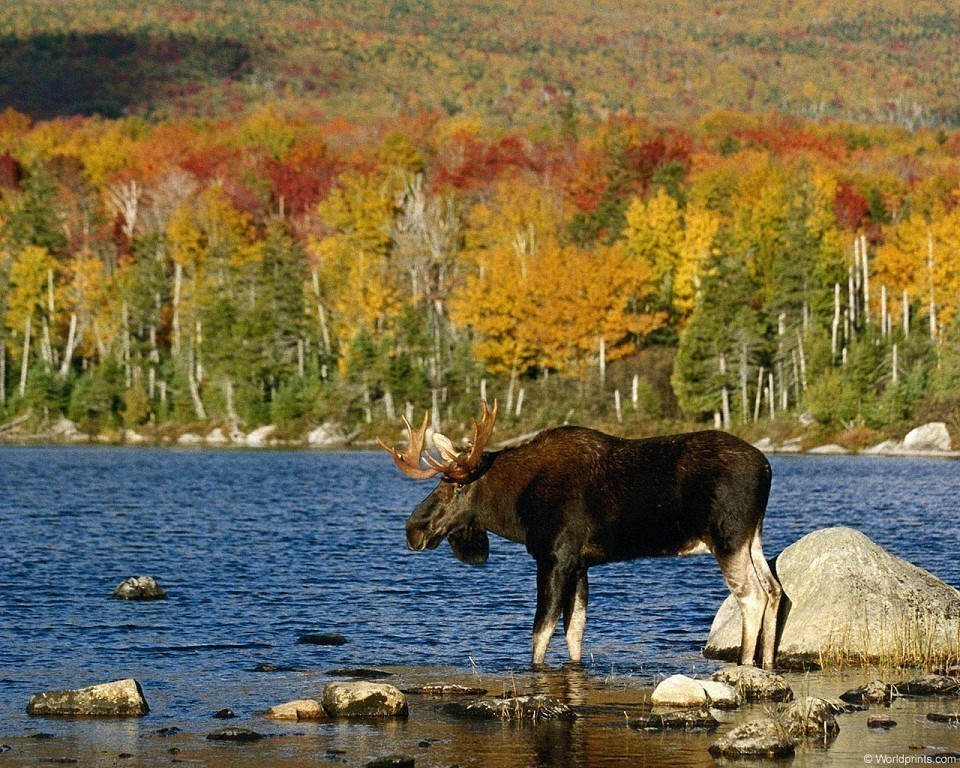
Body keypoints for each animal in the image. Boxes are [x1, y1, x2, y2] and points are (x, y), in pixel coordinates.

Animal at [378, 400, 784, 668]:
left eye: (456, 485)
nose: (413, 529)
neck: (515, 508)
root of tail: (767, 468)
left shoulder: (555, 555)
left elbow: (540, 632)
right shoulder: (580, 563)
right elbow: (575, 631)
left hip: (727, 537)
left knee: (752, 596)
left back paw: (746, 665)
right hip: (753, 537)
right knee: (774, 589)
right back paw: (767, 664)